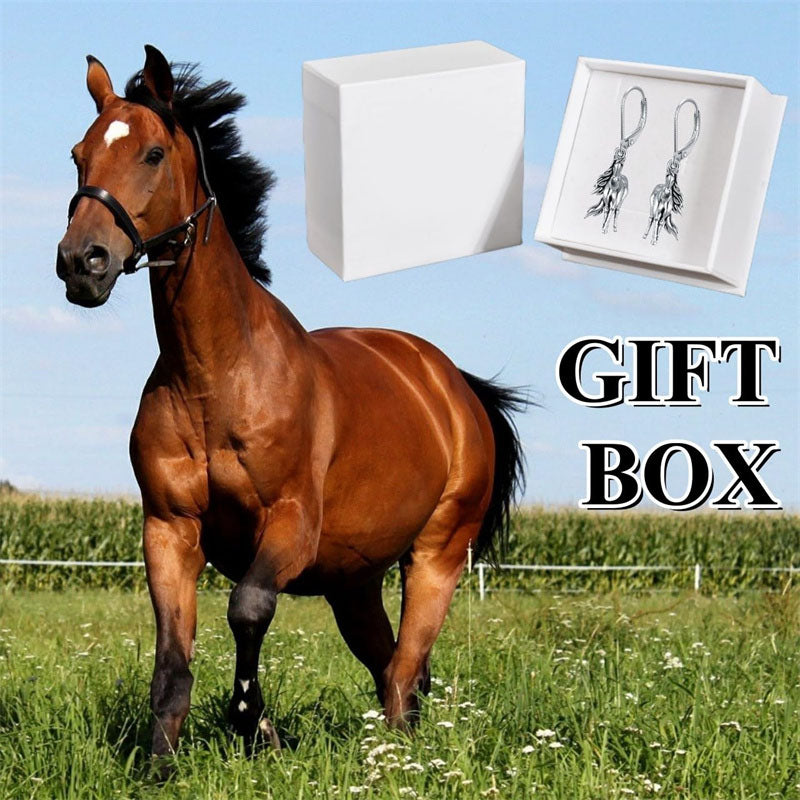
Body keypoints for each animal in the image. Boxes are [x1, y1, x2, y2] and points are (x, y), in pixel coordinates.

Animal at [56, 45, 527, 765]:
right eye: (79, 155)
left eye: (153, 154)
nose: (82, 262)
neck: (216, 379)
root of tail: (453, 384)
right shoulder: (168, 529)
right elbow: (172, 659)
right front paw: (162, 764)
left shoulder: (289, 525)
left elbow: (248, 608)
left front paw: (254, 722)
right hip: (353, 581)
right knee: (392, 665)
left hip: (437, 555)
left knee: (404, 667)